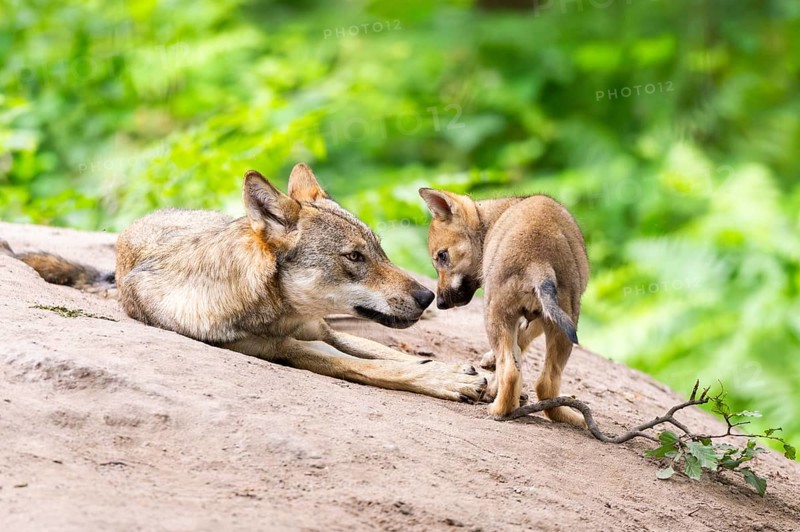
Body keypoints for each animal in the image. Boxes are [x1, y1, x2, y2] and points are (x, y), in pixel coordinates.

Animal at [8, 164, 487, 402]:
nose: (428, 296)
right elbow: (374, 367)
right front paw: (451, 382)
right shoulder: (285, 350)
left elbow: (389, 354)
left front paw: (456, 371)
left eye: (379, 250)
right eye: (354, 257)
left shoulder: (320, 330)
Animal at [419, 188, 589, 425]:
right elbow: (520, 343)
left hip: (496, 315)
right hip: (562, 325)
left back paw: (499, 410)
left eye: (442, 256)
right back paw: (570, 417)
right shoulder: (540, 318)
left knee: (511, 371)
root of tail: (538, 262)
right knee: (545, 383)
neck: (491, 221)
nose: (440, 304)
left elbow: (517, 346)